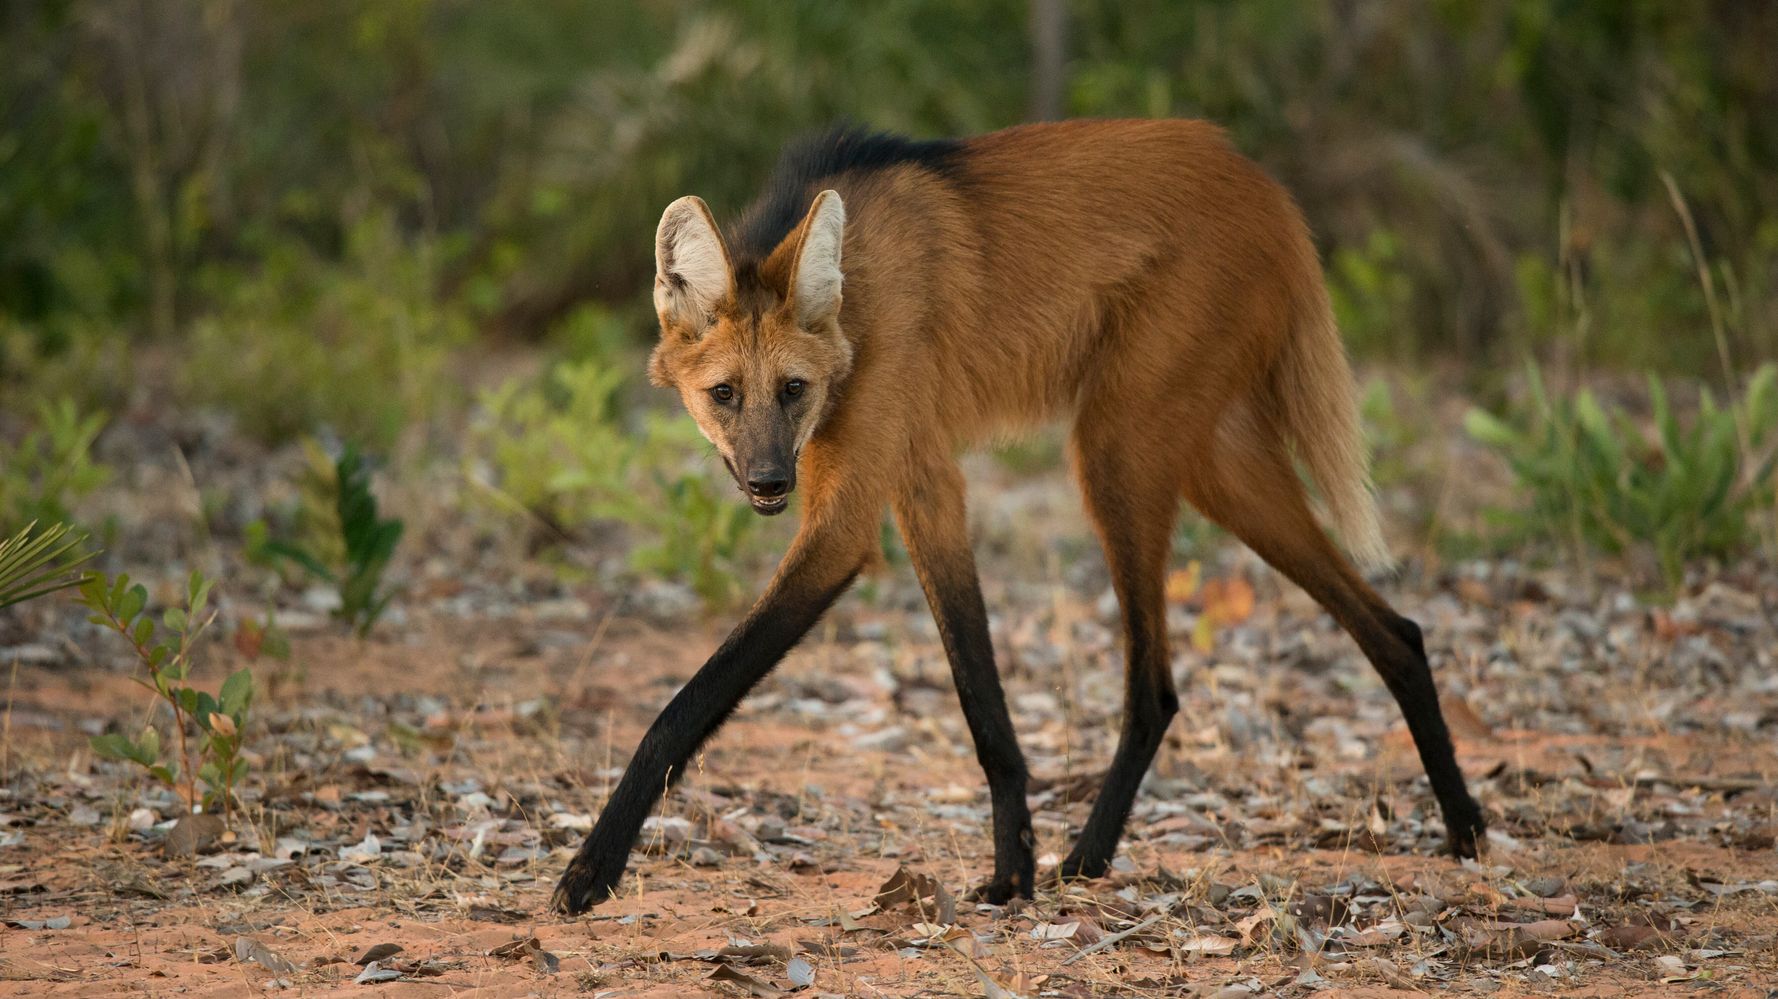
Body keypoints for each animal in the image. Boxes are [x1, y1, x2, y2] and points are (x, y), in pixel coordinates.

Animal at [547, 116, 1479, 910]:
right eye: (725, 394)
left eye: (793, 390)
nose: (772, 481)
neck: (858, 293)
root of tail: (1262, 181)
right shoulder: (925, 483)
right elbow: (982, 698)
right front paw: (1013, 869)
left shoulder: (849, 517)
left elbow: (684, 703)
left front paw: (590, 869)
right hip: (1214, 461)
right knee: (1395, 630)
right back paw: (1464, 824)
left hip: (1115, 448)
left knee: (1155, 686)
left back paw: (1093, 855)